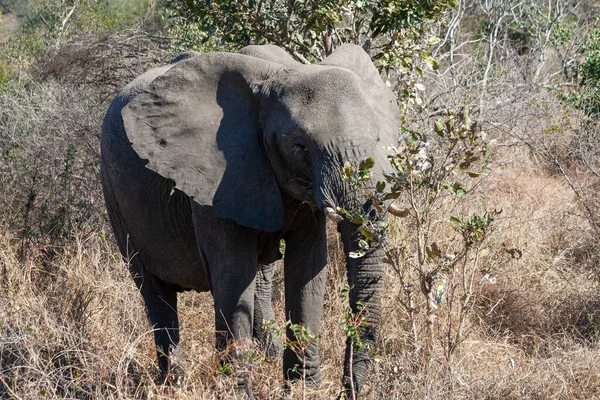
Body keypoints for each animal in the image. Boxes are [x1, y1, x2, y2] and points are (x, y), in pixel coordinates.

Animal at [99, 43, 398, 396]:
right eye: (299, 146)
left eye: (377, 140)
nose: (347, 391)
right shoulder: (215, 178)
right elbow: (233, 272)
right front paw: (238, 392)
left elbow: (308, 268)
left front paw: (303, 390)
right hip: (113, 191)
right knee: (155, 293)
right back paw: (175, 385)